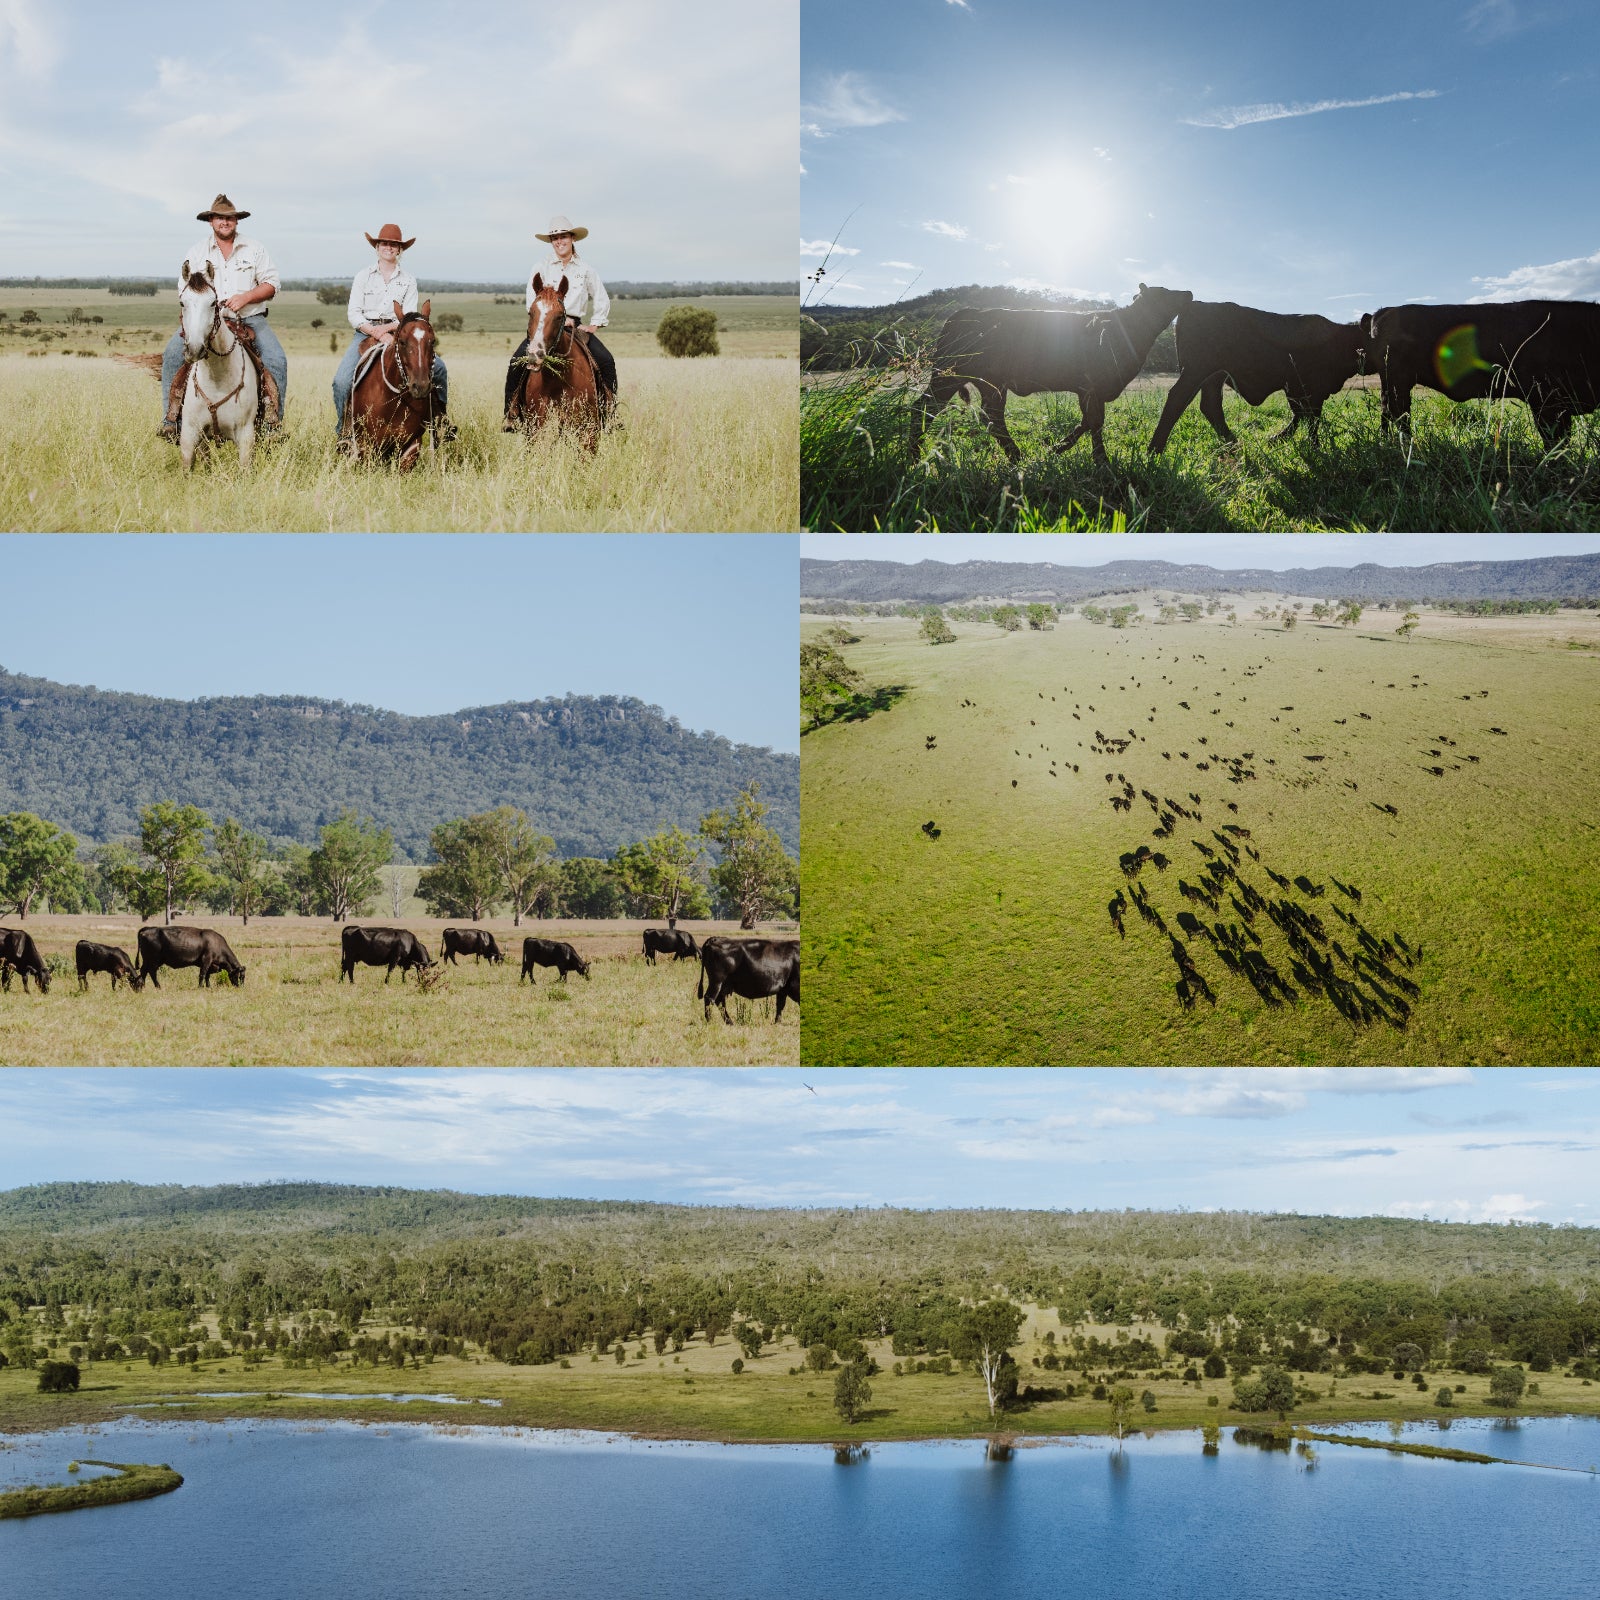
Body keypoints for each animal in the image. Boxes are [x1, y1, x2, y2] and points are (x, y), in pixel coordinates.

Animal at [176, 259, 257, 470]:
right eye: (182, 303)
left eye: (213, 303)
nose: (195, 349)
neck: (217, 377)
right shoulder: (189, 434)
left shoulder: (246, 436)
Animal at [345, 297, 441, 467]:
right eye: (402, 341)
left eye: (432, 341)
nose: (420, 386)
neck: (394, 400)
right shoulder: (366, 445)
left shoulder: (412, 446)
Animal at [908, 283, 1196, 464]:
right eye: (1164, 292)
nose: (1189, 292)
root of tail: (962, 314)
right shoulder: (1092, 387)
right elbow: (1095, 423)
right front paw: (1101, 461)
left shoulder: (1092, 391)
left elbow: (1087, 422)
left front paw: (1057, 448)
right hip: (948, 375)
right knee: (923, 407)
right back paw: (913, 455)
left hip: (990, 384)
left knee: (992, 417)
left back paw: (1016, 456)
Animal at [1152, 300, 1363, 454]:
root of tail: (1195, 305)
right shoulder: (1309, 389)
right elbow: (1308, 416)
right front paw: (1311, 446)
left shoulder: (1303, 390)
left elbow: (1302, 415)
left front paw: (1278, 440)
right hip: (1197, 370)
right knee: (1178, 399)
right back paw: (1154, 450)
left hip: (1213, 376)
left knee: (1210, 406)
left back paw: (1234, 444)